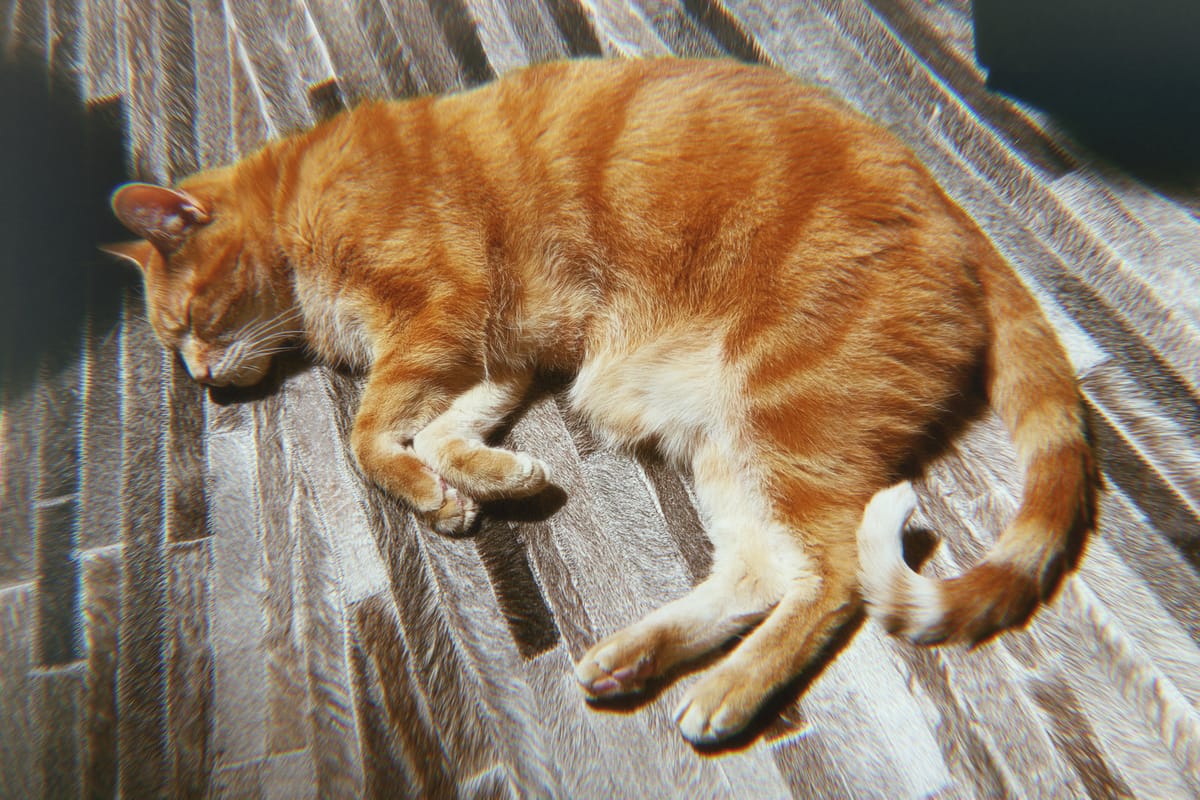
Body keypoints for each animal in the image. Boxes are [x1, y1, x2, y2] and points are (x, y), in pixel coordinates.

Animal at [108, 59, 1099, 748]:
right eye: (173, 344)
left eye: (187, 323)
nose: (201, 378)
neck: (296, 211)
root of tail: (953, 210)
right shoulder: (492, 358)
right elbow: (441, 431)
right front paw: (490, 479)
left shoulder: (439, 314)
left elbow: (367, 435)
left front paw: (434, 489)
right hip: (729, 445)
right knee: (762, 571)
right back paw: (635, 661)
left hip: (780, 415)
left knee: (834, 575)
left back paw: (727, 692)